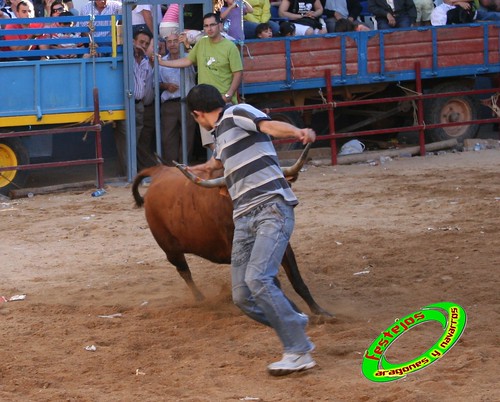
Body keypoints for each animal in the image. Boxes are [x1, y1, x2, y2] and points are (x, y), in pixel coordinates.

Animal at [131, 148, 330, 318]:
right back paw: (200, 298)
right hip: (170, 250)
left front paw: (320, 312)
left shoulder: (283, 245)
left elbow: (296, 279)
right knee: (184, 272)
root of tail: (159, 171)